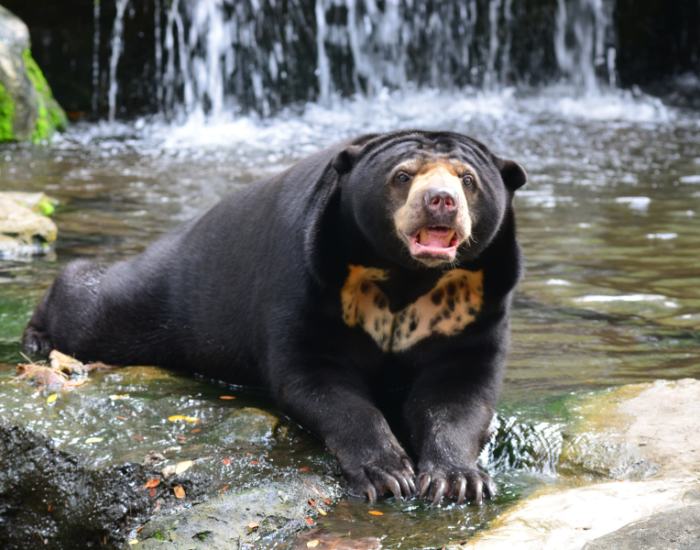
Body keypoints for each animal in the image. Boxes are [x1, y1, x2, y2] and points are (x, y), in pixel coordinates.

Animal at [22, 130, 527, 506]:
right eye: (402, 176)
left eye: (468, 180)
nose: (440, 200)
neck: (407, 276)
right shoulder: (307, 277)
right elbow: (316, 378)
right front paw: (387, 474)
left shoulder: (476, 304)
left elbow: (458, 392)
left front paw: (457, 481)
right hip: (162, 297)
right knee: (95, 307)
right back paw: (36, 335)